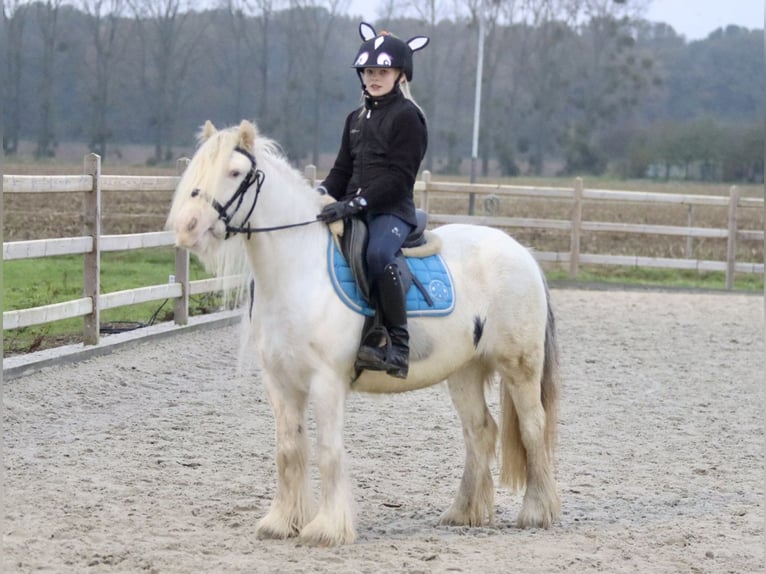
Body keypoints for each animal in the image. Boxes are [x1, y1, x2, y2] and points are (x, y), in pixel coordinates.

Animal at [166, 120, 564, 548]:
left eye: (235, 172)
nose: (187, 228)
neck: (299, 271)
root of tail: (522, 253)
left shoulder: (326, 381)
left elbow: (327, 451)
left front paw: (327, 529)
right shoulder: (279, 382)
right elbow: (289, 449)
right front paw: (282, 522)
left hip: (519, 368)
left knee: (533, 427)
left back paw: (536, 512)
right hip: (464, 372)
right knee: (480, 431)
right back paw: (463, 512)